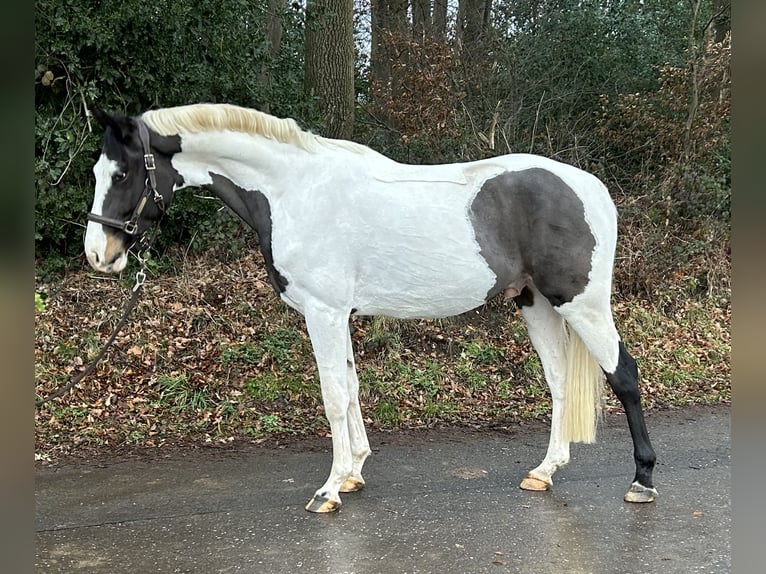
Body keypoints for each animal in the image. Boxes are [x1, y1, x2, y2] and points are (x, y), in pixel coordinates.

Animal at [84, 103, 657, 513]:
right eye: (97, 171)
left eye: (121, 174)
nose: (98, 255)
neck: (295, 191)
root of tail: (593, 190)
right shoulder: (339, 315)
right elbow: (352, 386)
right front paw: (355, 471)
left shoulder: (324, 313)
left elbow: (333, 394)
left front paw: (329, 489)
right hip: (536, 304)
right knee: (560, 383)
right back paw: (544, 472)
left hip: (582, 305)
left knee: (623, 375)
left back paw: (642, 480)